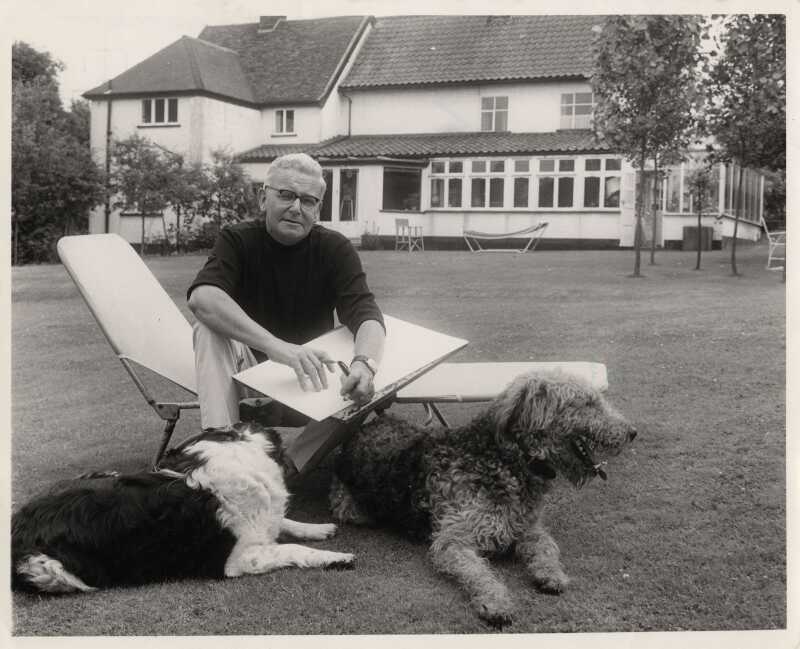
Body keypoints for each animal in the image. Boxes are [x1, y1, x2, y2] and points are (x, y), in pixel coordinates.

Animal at [10, 420, 354, 592]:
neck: (234, 445)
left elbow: (283, 521)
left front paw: (316, 528)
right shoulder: (237, 560)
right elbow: (291, 549)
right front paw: (335, 557)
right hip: (51, 569)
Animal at [328, 370, 636, 628]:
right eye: (586, 403)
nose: (631, 432)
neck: (507, 461)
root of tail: (363, 427)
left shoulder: (529, 528)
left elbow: (547, 548)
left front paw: (551, 574)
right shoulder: (453, 540)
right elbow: (479, 572)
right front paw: (496, 603)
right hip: (353, 509)